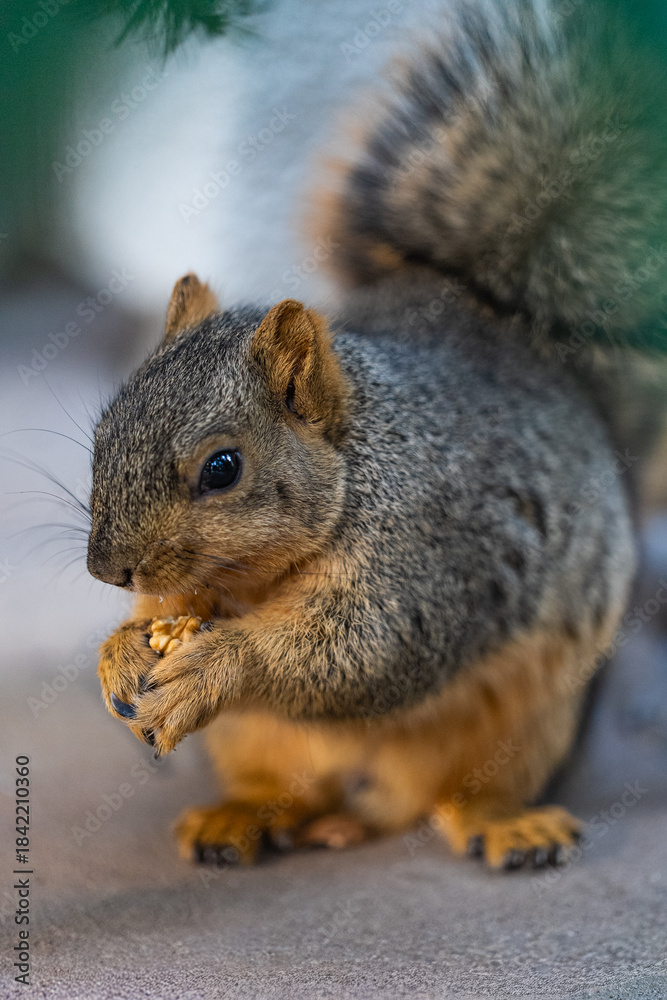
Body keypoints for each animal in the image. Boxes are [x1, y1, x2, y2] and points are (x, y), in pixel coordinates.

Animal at [87, 0, 665, 869]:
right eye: (103, 430)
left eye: (222, 468)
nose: (106, 569)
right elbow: (170, 610)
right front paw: (120, 651)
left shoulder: (428, 559)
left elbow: (364, 653)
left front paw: (218, 662)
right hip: (258, 743)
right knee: (285, 791)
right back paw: (240, 816)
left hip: (531, 720)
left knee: (468, 791)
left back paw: (506, 823)